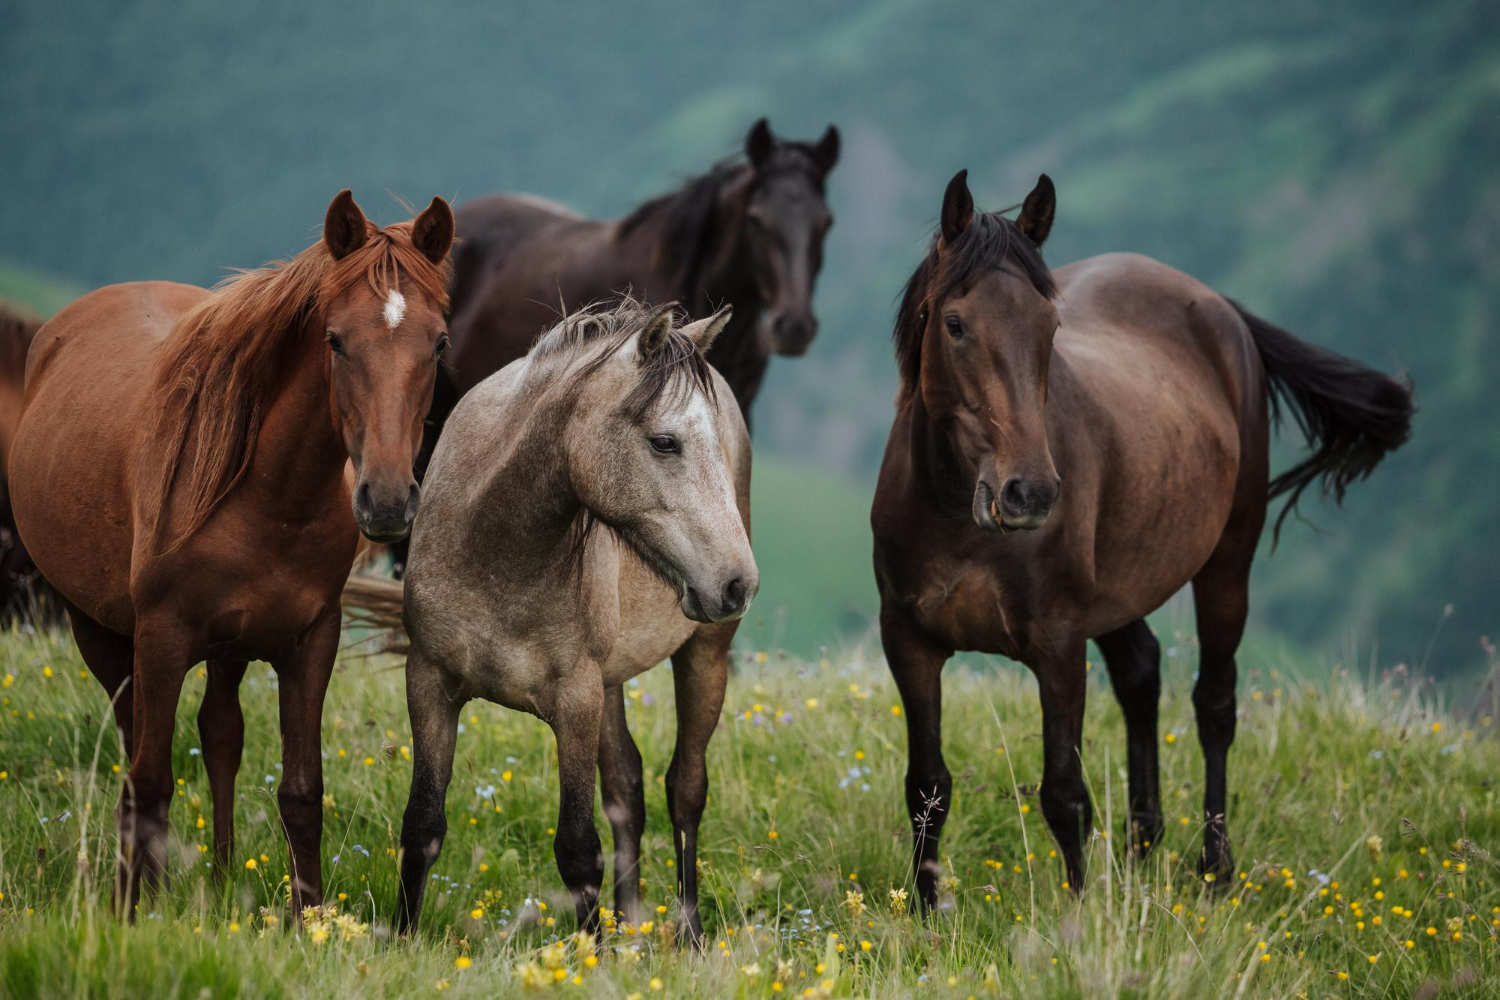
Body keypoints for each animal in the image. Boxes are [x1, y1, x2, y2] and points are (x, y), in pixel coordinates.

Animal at [7, 190, 455, 915]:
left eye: (438, 342)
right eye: (334, 339)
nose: (387, 501)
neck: (267, 495)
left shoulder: (311, 642)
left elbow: (300, 791)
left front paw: (309, 921)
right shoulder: (160, 639)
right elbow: (151, 781)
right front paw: (131, 915)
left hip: (228, 648)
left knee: (220, 734)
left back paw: (217, 879)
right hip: (101, 634)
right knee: (137, 753)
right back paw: (149, 887)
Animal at [345, 298, 755, 944]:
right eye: (665, 442)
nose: (740, 582)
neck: (494, 551)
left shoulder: (575, 701)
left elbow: (577, 848)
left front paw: (593, 953)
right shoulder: (429, 682)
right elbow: (422, 827)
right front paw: (404, 939)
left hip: (704, 653)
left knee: (686, 790)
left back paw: (687, 937)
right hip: (611, 683)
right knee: (628, 788)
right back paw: (632, 925)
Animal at [871, 170, 1413, 906]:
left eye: (1050, 326)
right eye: (955, 324)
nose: (1029, 493)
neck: (958, 519)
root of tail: (1220, 310)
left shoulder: (1058, 646)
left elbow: (1064, 795)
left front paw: (1078, 917)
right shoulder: (910, 642)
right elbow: (927, 787)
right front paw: (929, 916)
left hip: (1226, 565)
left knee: (1214, 706)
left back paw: (1214, 868)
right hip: (1121, 589)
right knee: (1141, 674)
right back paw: (1142, 846)